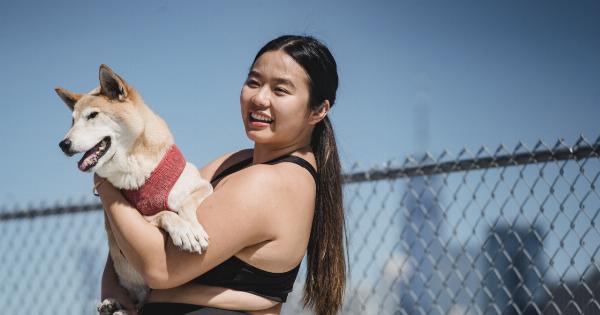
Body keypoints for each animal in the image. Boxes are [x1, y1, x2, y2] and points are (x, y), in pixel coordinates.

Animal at [54, 65, 213, 315]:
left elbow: (186, 204)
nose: (63, 144)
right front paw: (185, 231)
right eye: (72, 121)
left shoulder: (202, 185)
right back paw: (112, 305)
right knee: (136, 305)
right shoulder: (134, 221)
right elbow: (164, 214)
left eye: (92, 115)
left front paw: (192, 228)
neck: (135, 166)